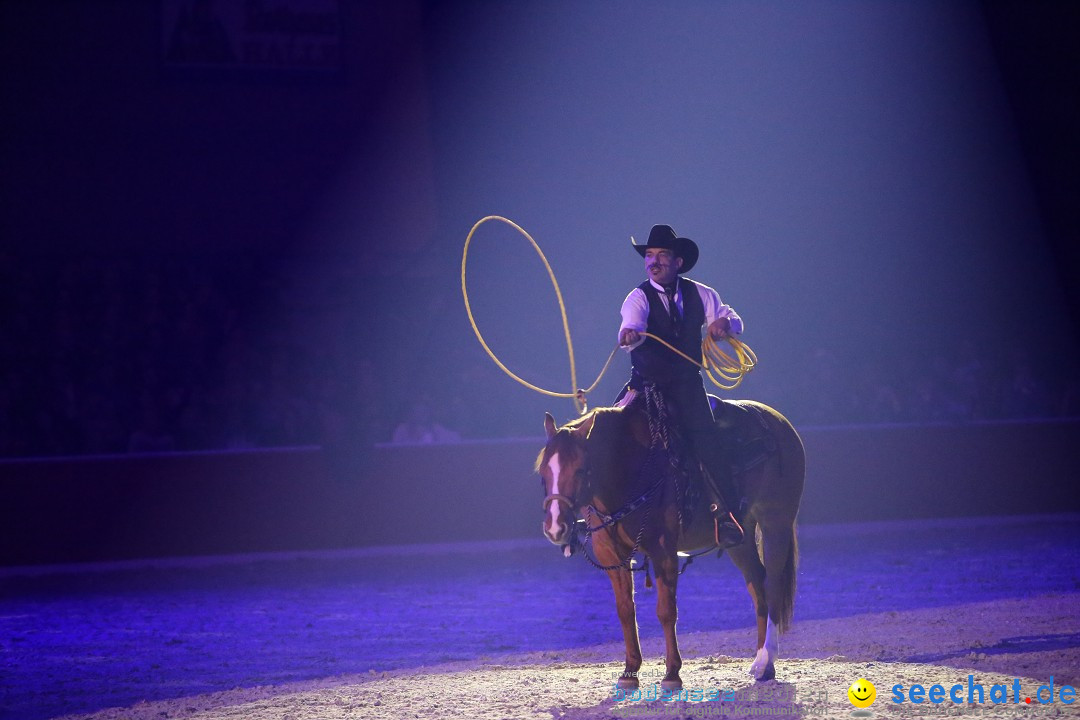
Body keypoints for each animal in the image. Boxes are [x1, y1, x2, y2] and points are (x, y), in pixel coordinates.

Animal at [537, 399, 803, 686]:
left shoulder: (664, 550)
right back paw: (760, 662)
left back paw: (766, 662)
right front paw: (630, 671)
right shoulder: (611, 554)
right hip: (741, 540)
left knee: (772, 585)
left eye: (580, 470)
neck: (632, 469)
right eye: (543, 473)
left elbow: (666, 611)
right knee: (757, 586)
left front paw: (672, 673)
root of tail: (778, 422)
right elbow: (625, 610)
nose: (555, 527)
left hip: (775, 522)